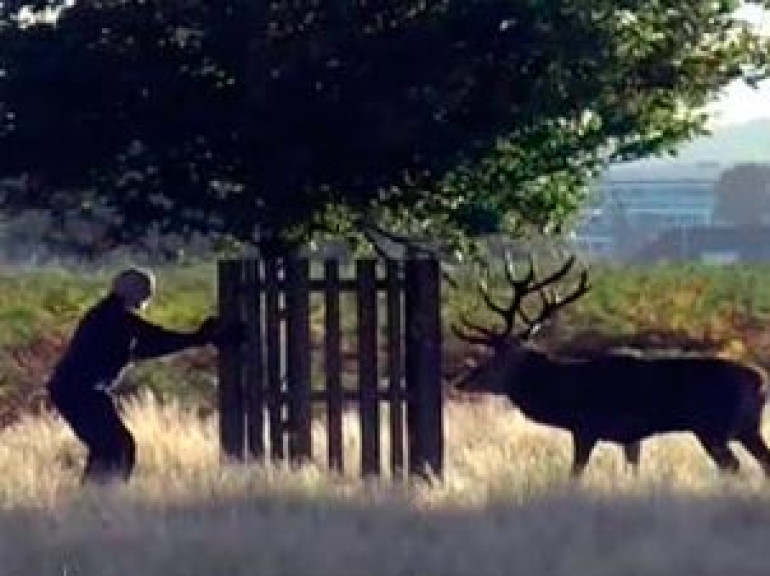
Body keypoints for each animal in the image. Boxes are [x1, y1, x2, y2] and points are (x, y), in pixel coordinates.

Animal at [452, 254, 770, 478]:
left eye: (495, 359)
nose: (462, 382)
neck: (564, 392)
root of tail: (762, 381)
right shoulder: (630, 435)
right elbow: (632, 469)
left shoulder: (587, 427)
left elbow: (575, 474)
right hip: (747, 427)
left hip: (714, 426)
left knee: (733, 466)